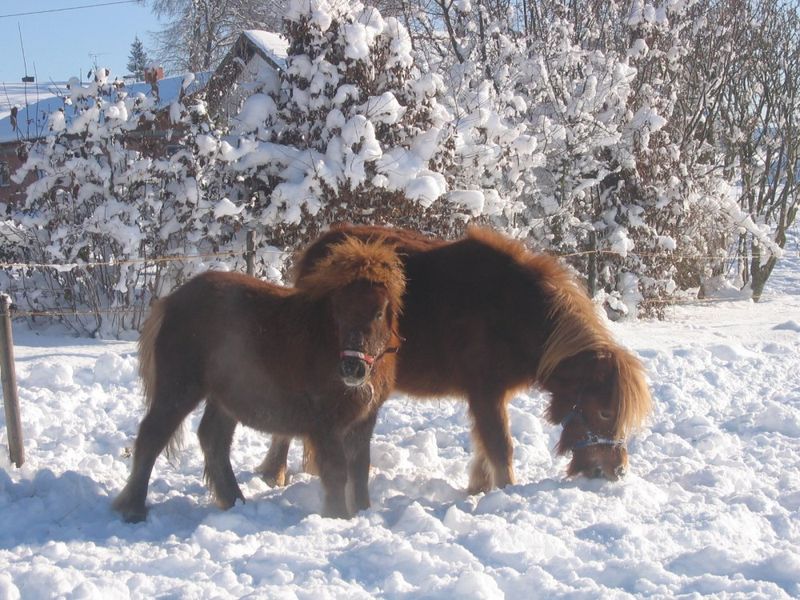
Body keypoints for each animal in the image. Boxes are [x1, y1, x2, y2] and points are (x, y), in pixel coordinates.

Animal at [112, 237, 406, 524]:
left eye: (378, 312)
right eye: (339, 311)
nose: (352, 368)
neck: (327, 339)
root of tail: (170, 301)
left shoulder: (363, 422)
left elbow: (359, 471)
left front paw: (362, 511)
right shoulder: (324, 424)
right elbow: (337, 472)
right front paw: (339, 518)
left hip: (224, 397)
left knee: (213, 440)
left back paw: (234, 501)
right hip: (179, 389)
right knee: (152, 437)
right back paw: (134, 510)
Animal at [262, 225, 648, 492]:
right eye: (605, 412)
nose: (617, 471)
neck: (517, 314)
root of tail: (317, 250)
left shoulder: (491, 396)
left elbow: (485, 446)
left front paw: (478, 488)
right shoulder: (485, 392)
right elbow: (500, 446)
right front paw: (507, 491)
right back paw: (274, 474)